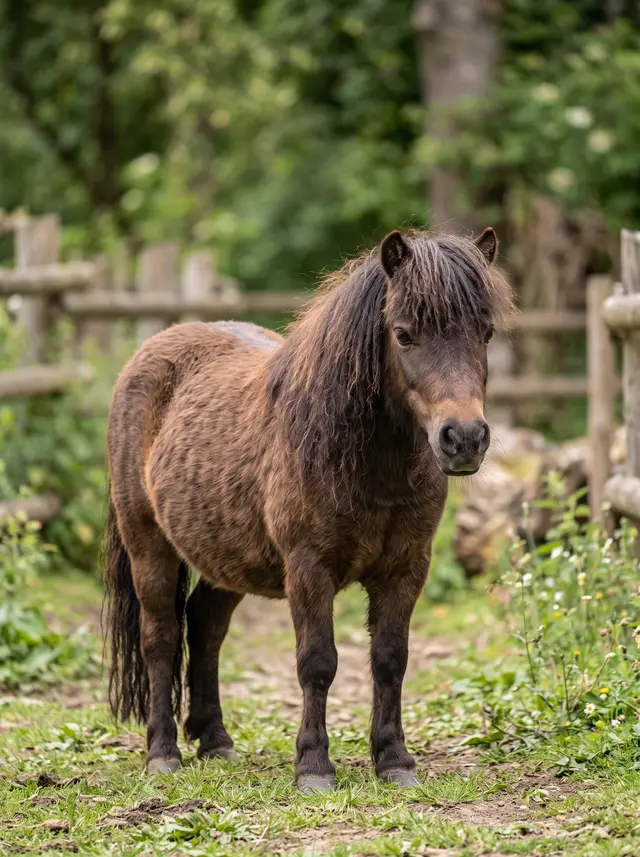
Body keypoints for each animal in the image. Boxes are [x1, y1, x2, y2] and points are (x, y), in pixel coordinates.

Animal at [103, 227, 513, 791]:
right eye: (404, 334)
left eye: (486, 332)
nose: (465, 438)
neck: (361, 460)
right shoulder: (308, 569)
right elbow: (318, 663)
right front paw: (314, 766)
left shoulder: (406, 569)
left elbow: (391, 660)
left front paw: (395, 761)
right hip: (148, 544)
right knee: (161, 636)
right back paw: (163, 752)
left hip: (227, 555)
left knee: (205, 627)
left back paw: (215, 741)